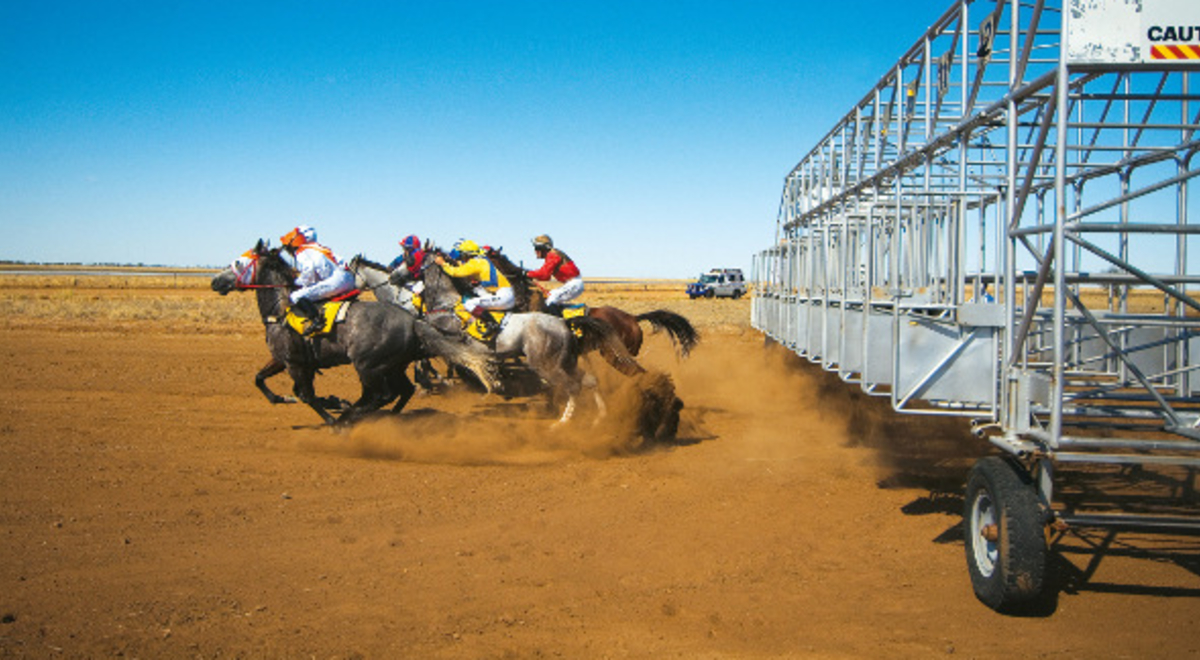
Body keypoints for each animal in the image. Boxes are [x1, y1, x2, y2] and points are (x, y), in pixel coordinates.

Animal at [211, 241, 498, 426]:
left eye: (238, 261)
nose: (216, 281)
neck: (281, 310)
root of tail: (412, 322)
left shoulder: (294, 363)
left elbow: (306, 395)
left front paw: (333, 414)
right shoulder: (285, 360)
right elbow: (260, 380)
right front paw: (296, 399)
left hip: (368, 365)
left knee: (381, 395)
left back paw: (351, 418)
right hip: (391, 365)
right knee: (399, 391)